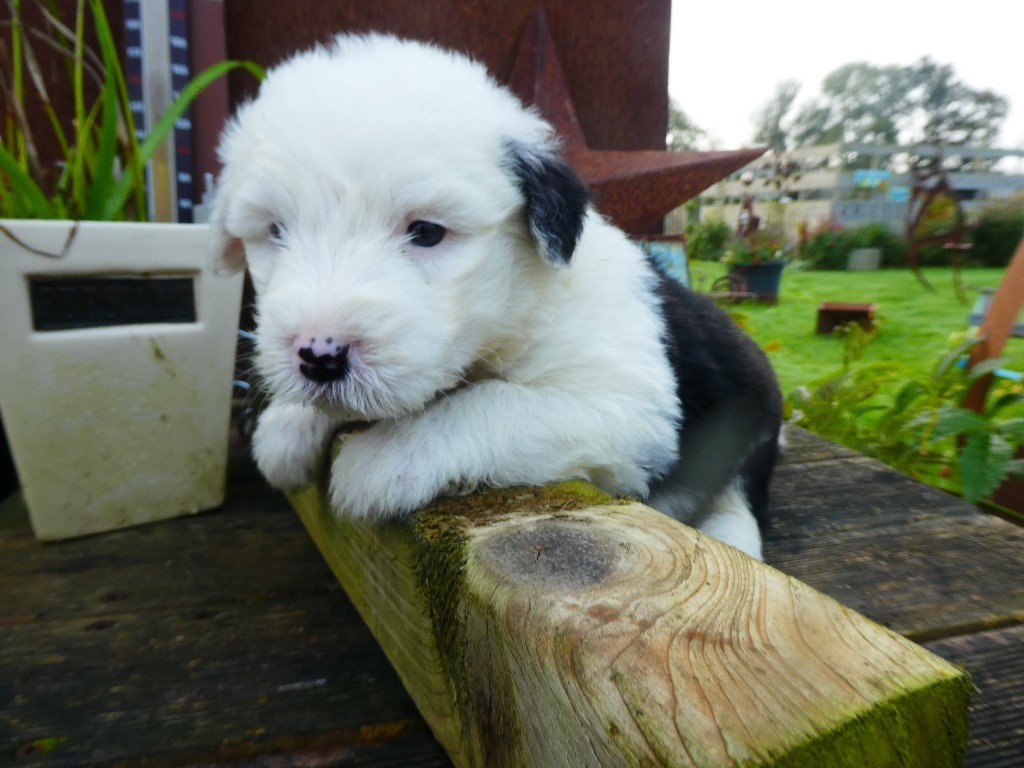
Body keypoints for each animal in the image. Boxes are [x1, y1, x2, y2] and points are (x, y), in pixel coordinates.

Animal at [211, 33, 778, 561]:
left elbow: (490, 400)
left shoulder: (628, 408)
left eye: (427, 232)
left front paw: (386, 457)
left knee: (737, 503)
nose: (319, 356)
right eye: (275, 231)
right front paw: (288, 424)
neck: (519, 307)